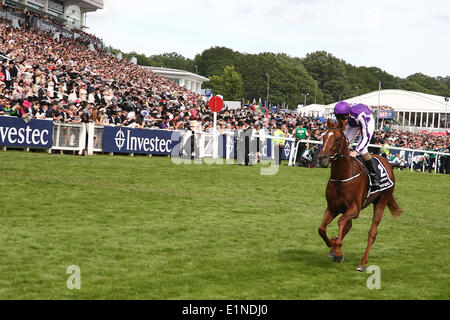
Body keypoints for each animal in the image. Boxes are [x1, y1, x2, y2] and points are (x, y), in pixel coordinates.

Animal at [318, 119, 402, 272]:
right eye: (323, 137)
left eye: (337, 139)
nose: (322, 158)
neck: (342, 176)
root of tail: (386, 161)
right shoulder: (332, 207)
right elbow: (321, 229)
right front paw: (333, 244)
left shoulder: (355, 209)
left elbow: (341, 222)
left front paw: (338, 252)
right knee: (348, 225)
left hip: (381, 202)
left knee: (372, 233)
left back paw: (362, 263)